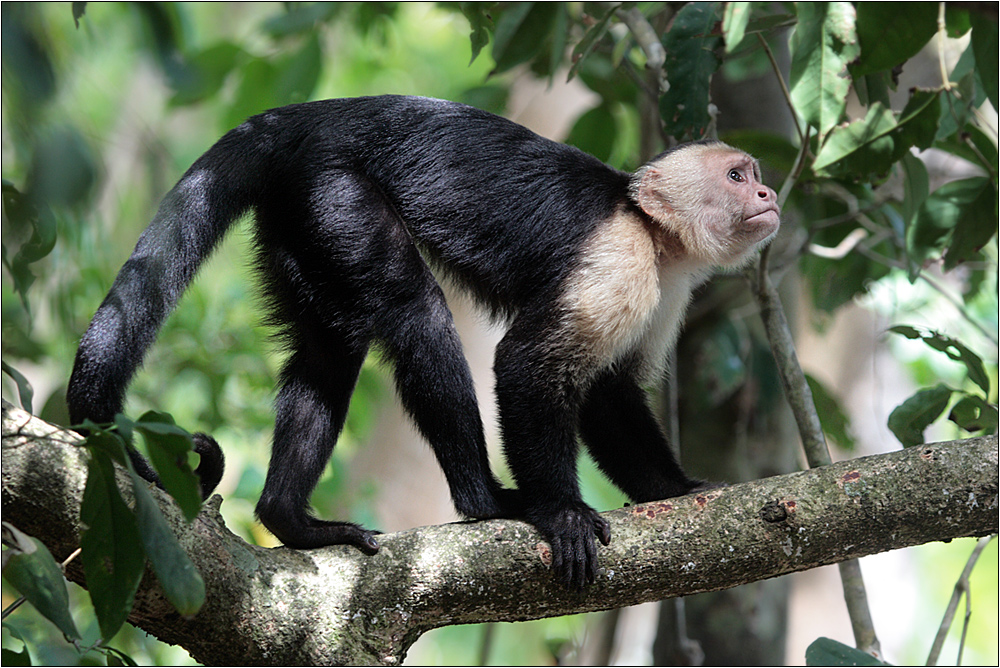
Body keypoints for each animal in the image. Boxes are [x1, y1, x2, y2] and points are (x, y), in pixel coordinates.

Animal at [68, 95, 780, 588]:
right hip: (333, 190)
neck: (651, 230)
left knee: (329, 351)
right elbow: (526, 366)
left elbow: (608, 395)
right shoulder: (618, 256)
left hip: (299, 214)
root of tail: (310, 116)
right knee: (417, 314)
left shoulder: (670, 286)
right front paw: (561, 512)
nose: (770, 191)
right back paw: (485, 500)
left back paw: (291, 520)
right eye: (737, 176)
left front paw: (674, 488)